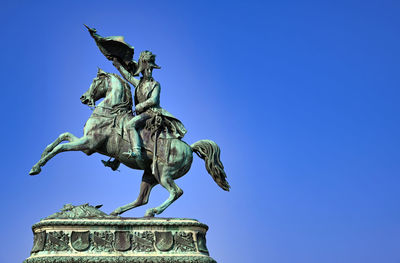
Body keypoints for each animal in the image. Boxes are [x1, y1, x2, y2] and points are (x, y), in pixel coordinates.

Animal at [29, 69, 230, 218]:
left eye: (95, 80)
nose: (84, 98)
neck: (109, 112)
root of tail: (189, 148)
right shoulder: (85, 143)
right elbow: (61, 138)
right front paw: (39, 160)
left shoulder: (88, 144)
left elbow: (61, 147)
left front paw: (37, 167)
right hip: (150, 175)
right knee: (142, 198)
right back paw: (117, 211)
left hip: (164, 174)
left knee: (176, 192)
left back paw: (153, 211)